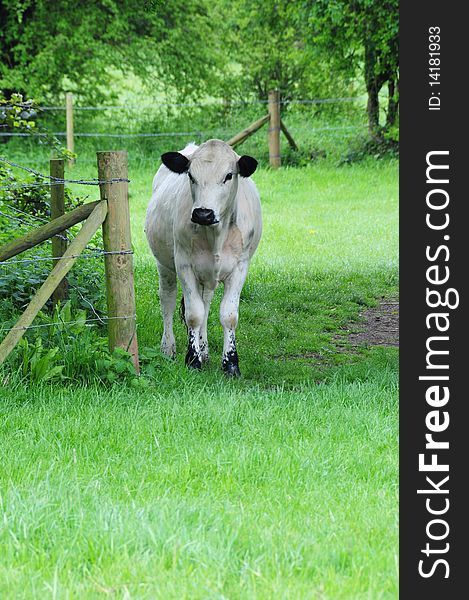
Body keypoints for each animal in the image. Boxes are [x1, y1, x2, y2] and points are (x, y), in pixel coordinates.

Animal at [144, 139, 262, 378]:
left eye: (228, 175)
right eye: (191, 175)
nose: (203, 213)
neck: (215, 234)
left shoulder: (240, 267)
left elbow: (228, 315)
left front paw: (230, 364)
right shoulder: (184, 265)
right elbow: (193, 314)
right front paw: (192, 360)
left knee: (206, 303)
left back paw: (205, 349)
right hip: (164, 265)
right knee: (168, 301)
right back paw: (168, 348)